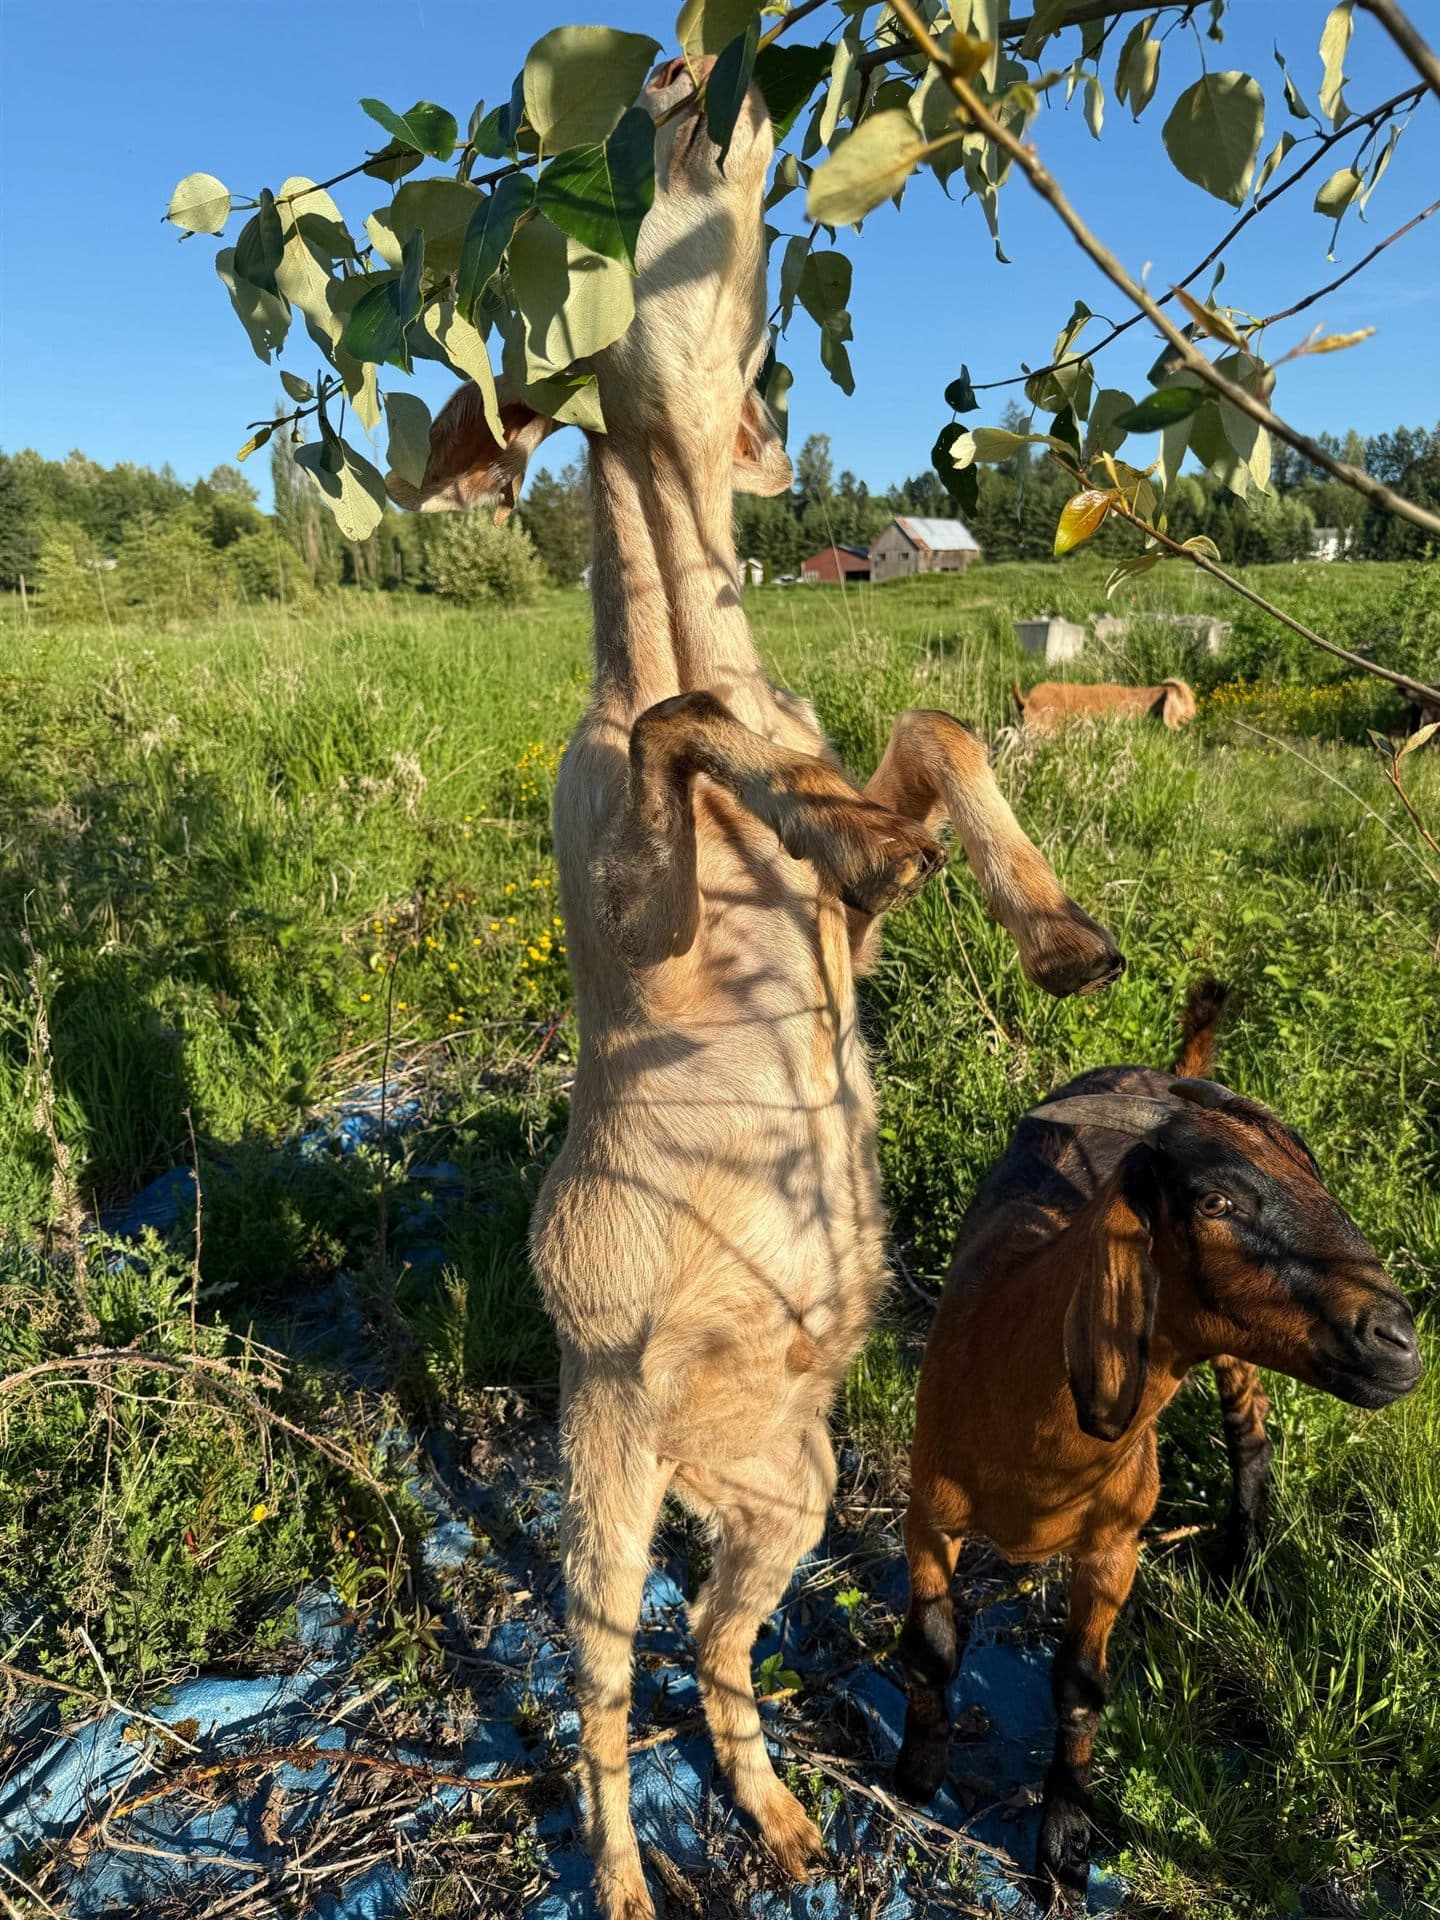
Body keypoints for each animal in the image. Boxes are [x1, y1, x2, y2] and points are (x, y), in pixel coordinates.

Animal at [390, 55, 1123, 1920]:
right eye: (580, 199)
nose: (679, 64)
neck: (693, 628)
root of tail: (705, 1465)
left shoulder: (839, 925)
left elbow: (929, 739)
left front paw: (1054, 928)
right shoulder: (625, 907)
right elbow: (681, 733)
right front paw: (801, 796)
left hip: (795, 1491)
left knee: (717, 1652)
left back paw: (781, 1812)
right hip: (600, 1486)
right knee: (596, 1693)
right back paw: (628, 1879)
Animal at [894, 980, 1422, 1906]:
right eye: (1215, 1202)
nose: (1400, 1343)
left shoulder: (1115, 1548)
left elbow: (1080, 1687)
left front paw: (1064, 1850)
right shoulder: (930, 1509)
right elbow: (933, 1648)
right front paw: (918, 1773)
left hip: (1233, 1353)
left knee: (1250, 1428)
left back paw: (1242, 1559)